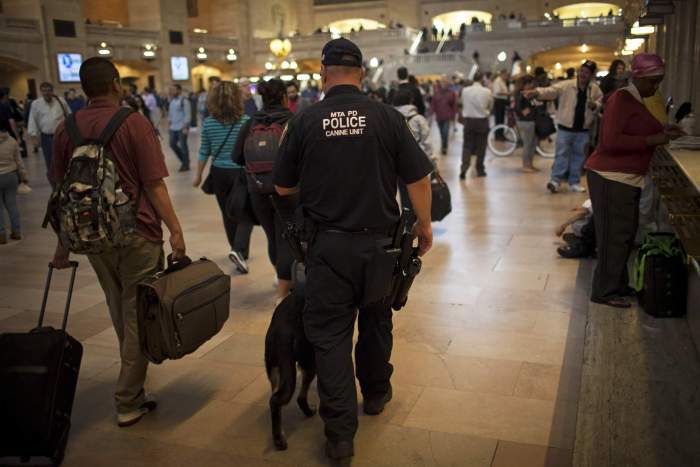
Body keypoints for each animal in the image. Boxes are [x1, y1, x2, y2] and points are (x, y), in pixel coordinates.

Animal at [264, 288, 316, 452]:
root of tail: (279, 331)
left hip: (275, 370)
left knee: (275, 400)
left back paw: (278, 435)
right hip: (307, 362)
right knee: (293, 398)